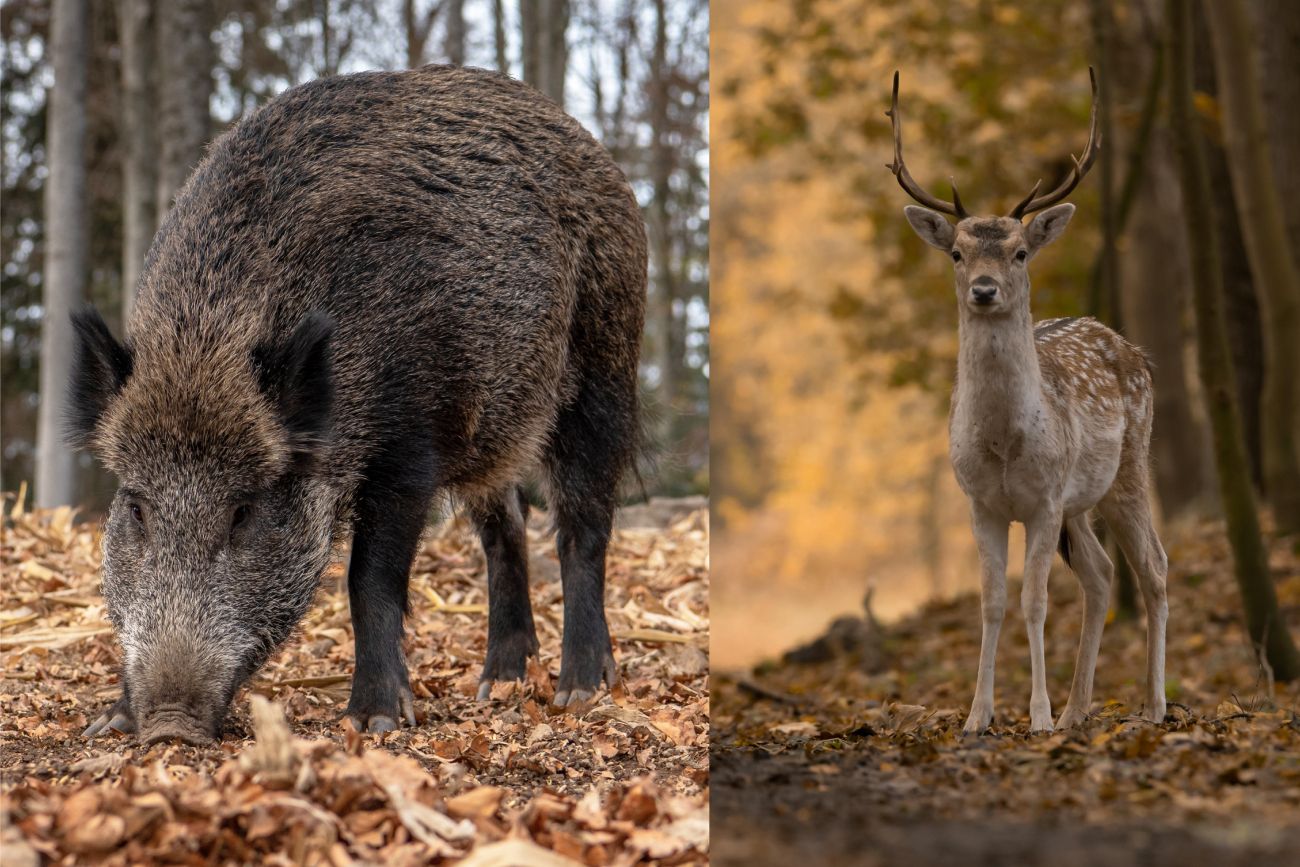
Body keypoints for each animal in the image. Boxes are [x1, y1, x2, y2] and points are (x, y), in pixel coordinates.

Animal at [887, 69, 1167, 733]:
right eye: (957, 253)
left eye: (1019, 251)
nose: (985, 290)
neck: (1004, 444)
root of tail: (1132, 347)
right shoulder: (980, 502)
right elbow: (992, 603)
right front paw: (977, 717)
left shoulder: (1043, 499)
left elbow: (1034, 601)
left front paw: (1035, 716)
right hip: (1080, 503)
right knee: (1102, 574)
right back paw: (1077, 711)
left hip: (1129, 468)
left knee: (1154, 568)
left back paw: (1152, 705)